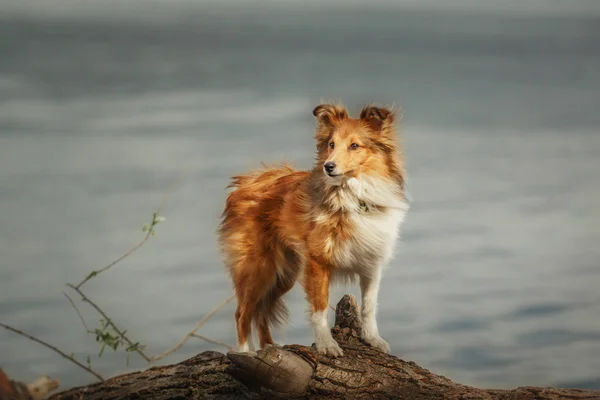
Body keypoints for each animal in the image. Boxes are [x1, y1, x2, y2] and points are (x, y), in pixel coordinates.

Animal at [218, 102, 410, 356]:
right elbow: (319, 307)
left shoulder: (371, 262)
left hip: (284, 274)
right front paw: (327, 345)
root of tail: (245, 183)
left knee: (262, 310)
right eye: (331, 144)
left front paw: (372, 339)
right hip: (258, 267)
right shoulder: (318, 262)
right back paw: (244, 353)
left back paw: (269, 347)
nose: (329, 166)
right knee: (242, 312)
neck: (354, 196)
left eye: (354, 145)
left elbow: (369, 306)